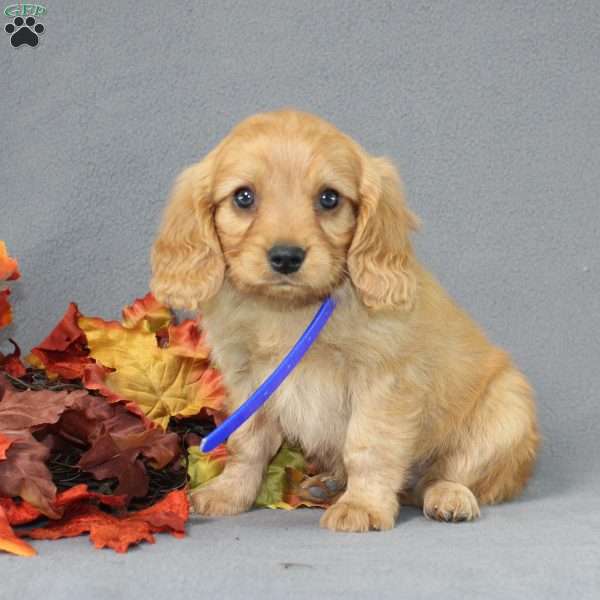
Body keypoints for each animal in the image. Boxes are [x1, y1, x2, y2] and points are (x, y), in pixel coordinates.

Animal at [151, 110, 540, 532]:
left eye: (329, 198)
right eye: (243, 197)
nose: (286, 257)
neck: (288, 309)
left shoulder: (383, 379)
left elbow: (368, 446)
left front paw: (364, 506)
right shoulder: (247, 380)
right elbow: (247, 442)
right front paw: (230, 492)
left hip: (507, 411)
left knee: (448, 474)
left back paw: (448, 496)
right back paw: (327, 484)